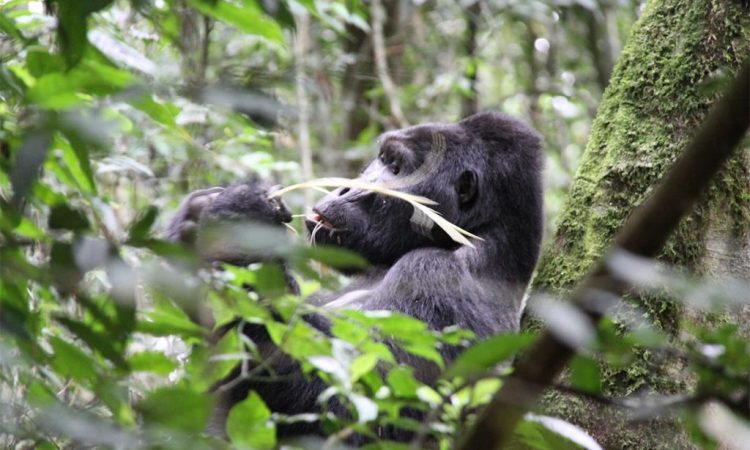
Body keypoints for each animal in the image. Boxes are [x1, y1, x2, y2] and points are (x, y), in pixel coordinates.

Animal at [167, 110, 544, 442]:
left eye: (396, 168)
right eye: (381, 159)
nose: (344, 188)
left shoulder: (435, 276)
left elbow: (366, 411)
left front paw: (240, 225)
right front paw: (189, 225)